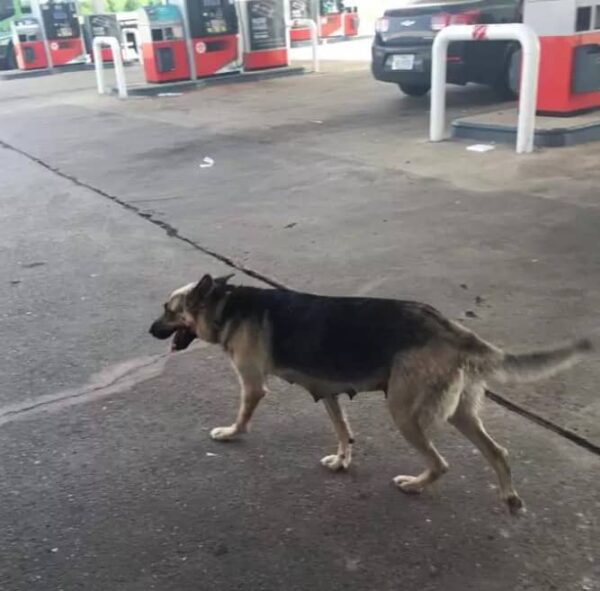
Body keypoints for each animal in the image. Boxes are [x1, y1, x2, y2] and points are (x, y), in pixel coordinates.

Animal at [149, 276, 592, 516]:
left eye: (169, 310)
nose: (150, 330)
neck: (226, 305)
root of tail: (452, 330)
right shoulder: (328, 392)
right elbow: (343, 430)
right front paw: (343, 459)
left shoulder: (253, 385)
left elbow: (243, 413)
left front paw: (230, 433)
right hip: (459, 412)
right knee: (497, 452)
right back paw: (511, 498)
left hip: (404, 412)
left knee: (442, 462)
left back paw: (415, 485)